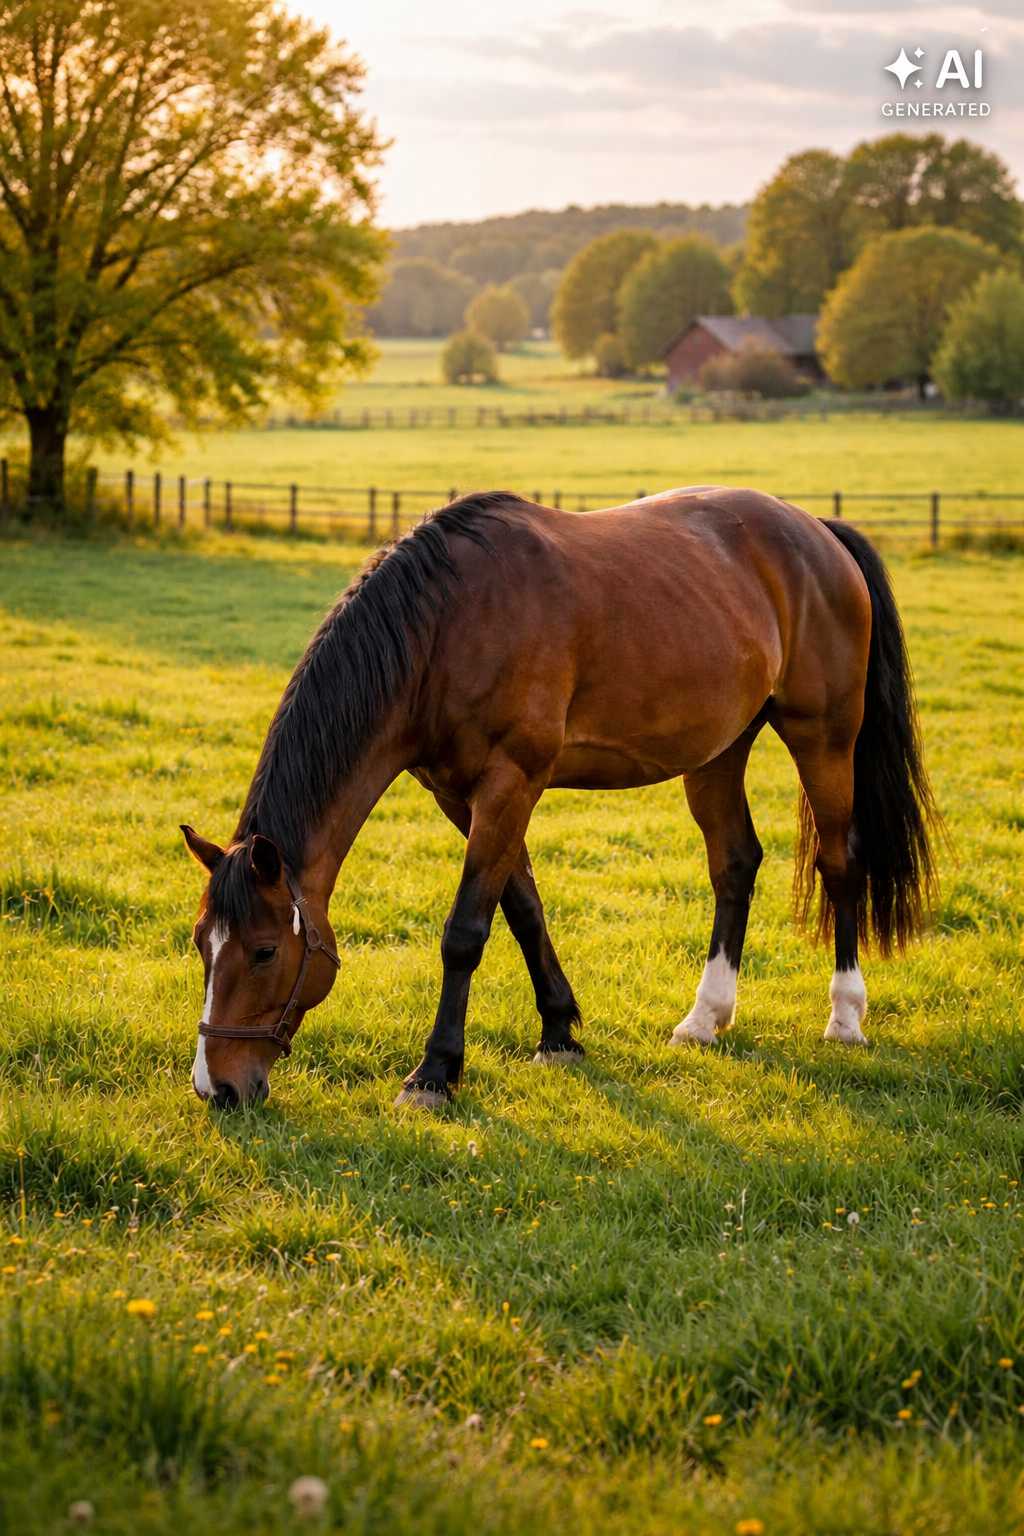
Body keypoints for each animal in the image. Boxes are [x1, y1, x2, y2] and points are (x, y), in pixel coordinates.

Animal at [181, 487, 936, 1110]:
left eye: (265, 952)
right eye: (200, 944)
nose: (217, 1087)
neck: (445, 625)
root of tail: (818, 532)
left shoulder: (511, 781)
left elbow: (465, 932)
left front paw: (435, 1073)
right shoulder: (461, 796)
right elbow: (522, 910)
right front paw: (559, 1032)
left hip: (824, 738)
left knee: (839, 863)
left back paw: (845, 1016)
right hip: (720, 751)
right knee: (734, 864)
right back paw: (705, 1018)